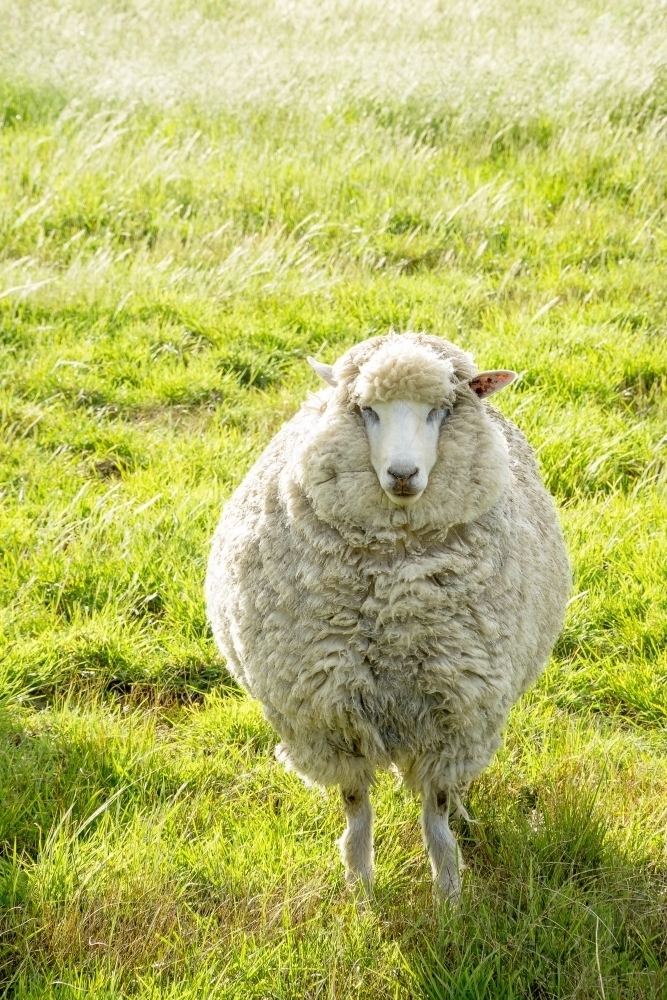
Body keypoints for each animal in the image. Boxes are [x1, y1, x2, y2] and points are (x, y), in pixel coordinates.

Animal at [206, 334, 572, 900]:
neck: (395, 602)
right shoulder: (331, 715)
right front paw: (359, 887)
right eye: (366, 411)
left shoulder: (453, 713)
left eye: (441, 410)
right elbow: (356, 807)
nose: (402, 475)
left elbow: (435, 811)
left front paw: (449, 893)